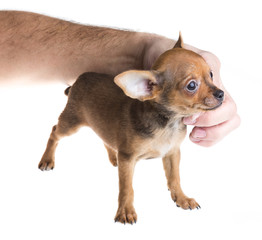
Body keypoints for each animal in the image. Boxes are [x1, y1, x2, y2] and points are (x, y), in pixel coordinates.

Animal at [38, 34, 223, 225]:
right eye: (191, 86)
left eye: (211, 74)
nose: (221, 94)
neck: (168, 123)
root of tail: (77, 80)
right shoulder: (128, 158)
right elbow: (127, 188)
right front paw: (125, 211)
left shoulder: (172, 153)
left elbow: (174, 178)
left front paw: (182, 198)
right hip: (71, 122)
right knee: (54, 132)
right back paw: (47, 159)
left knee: (104, 138)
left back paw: (113, 157)